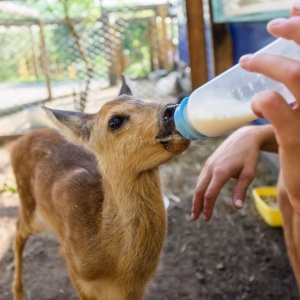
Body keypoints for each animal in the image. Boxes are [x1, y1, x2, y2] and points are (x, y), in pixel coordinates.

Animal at [11, 79, 190, 300]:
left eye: (143, 98)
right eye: (115, 121)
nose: (171, 109)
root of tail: (20, 140)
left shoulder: (136, 288)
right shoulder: (77, 273)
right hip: (28, 204)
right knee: (17, 231)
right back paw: (18, 292)